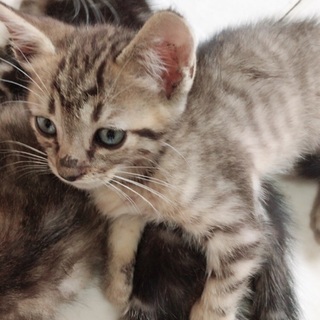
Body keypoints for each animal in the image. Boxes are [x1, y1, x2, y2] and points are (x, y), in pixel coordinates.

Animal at [0, 5, 312, 320]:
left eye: (110, 136)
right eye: (46, 125)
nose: (67, 171)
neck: (140, 174)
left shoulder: (242, 229)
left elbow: (221, 295)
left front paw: (206, 312)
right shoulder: (122, 209)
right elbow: (120, 238)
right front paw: (118, 287)